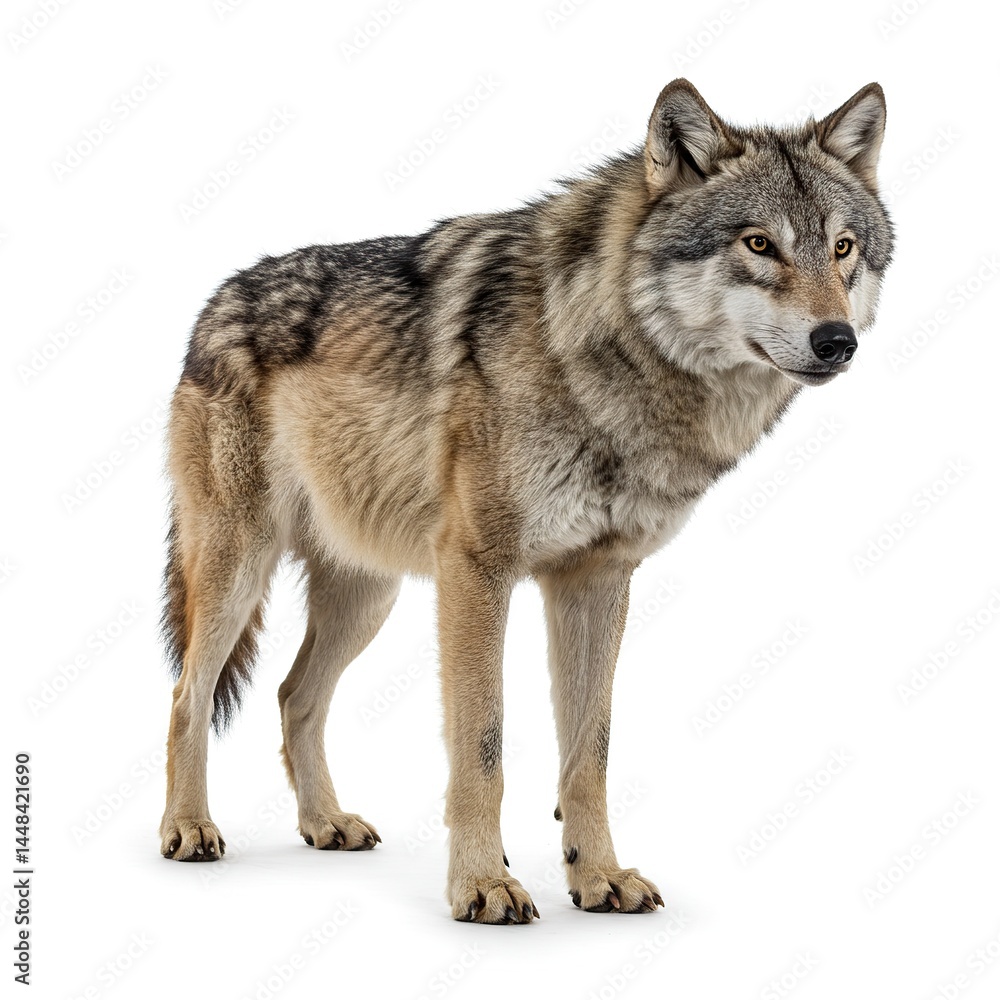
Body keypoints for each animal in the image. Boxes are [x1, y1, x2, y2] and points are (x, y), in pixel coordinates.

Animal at [159, 79, 893, 923]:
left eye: (843, 248)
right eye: (758, 244)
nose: (837, 341)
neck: (604, 361)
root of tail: (213, 304)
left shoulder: (596, 581)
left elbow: (588, 753)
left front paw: (598, 876)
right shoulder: (478, 572)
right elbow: (483, 747)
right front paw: (483, 884)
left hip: (367, 597)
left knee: (292, 696)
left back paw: (325, 823)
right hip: (240, 570)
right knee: (187, 695)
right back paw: (188, 828)